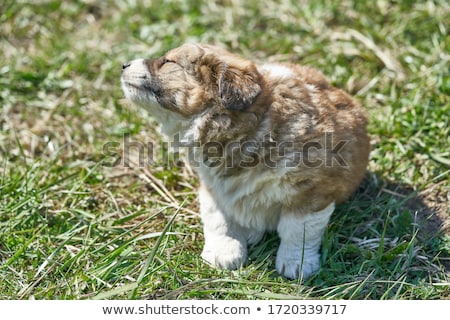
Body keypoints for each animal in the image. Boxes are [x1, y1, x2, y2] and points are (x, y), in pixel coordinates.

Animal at [119, 43, 370, 280]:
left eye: (167, 62)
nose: (123, 65)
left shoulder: (310, 192)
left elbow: (298, 230)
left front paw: (296, 262)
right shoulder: (213, 189)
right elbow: (218, 220)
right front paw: (223, 252)